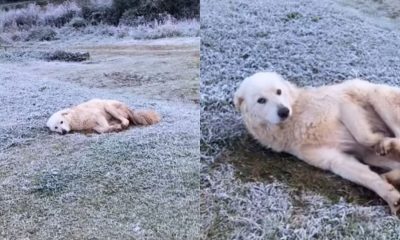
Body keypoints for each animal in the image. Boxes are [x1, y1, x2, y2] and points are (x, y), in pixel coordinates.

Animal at [233, 71, 400, 214]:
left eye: (278, 92)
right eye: (261, 100)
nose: (284, 111)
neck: (295, 118)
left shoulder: (343, 103)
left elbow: (363, 137)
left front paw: (379, 139)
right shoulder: (334, 160)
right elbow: (368, 177)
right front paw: (390, 196)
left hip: (377, 94)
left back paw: (390, 144)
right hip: (372, 156)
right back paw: (391, 175)